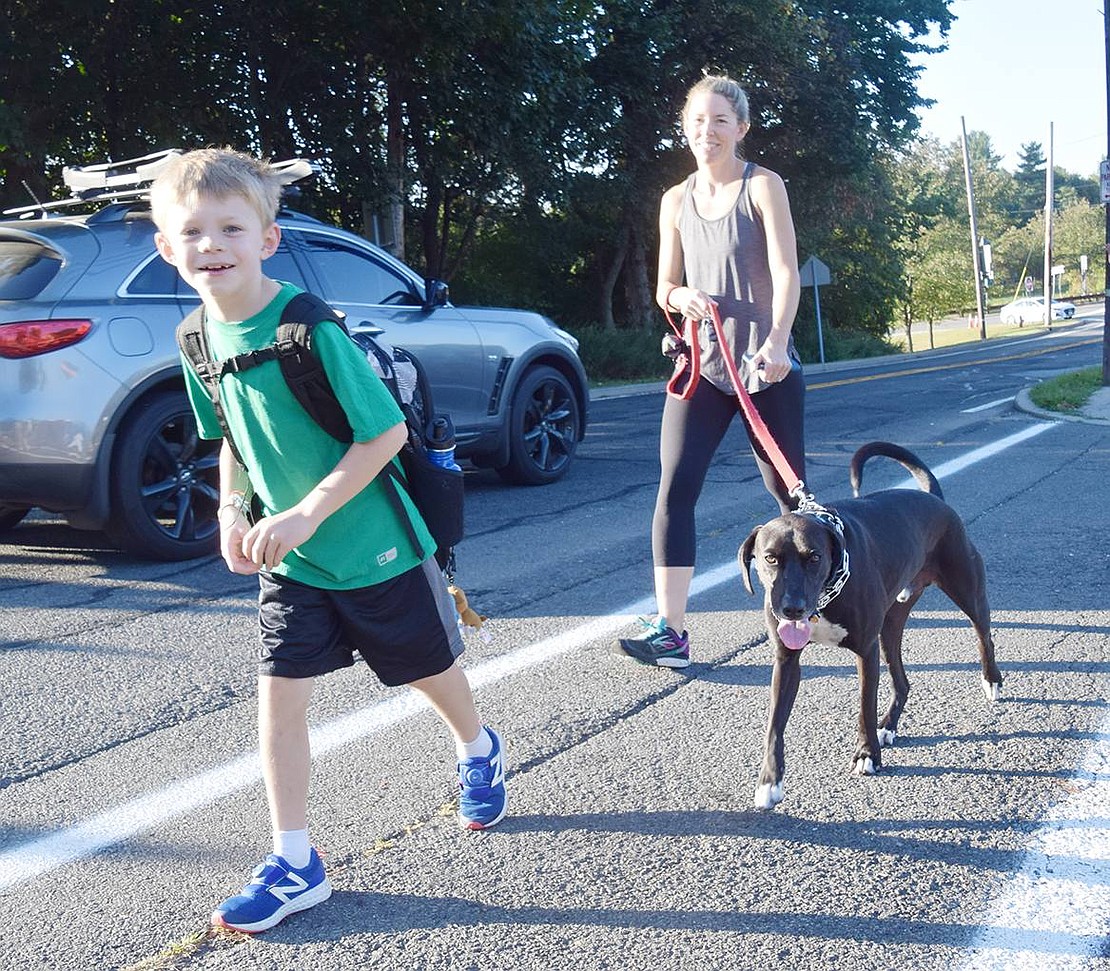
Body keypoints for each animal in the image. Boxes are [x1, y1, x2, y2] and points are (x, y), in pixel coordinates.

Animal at [737, 443, 1007, 807]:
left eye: (815, 557)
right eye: (770, 558)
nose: (792, 609)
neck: (825, 599)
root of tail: (934, 498)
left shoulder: (865, 652)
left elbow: (864, 706)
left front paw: (867, 755)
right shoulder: (786, 660)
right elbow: (774, 724)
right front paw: (769, 780)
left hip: (967, 591)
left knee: (984, 636)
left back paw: (991, 680)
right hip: (890, 625)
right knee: (902, 681)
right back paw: (888, 725)